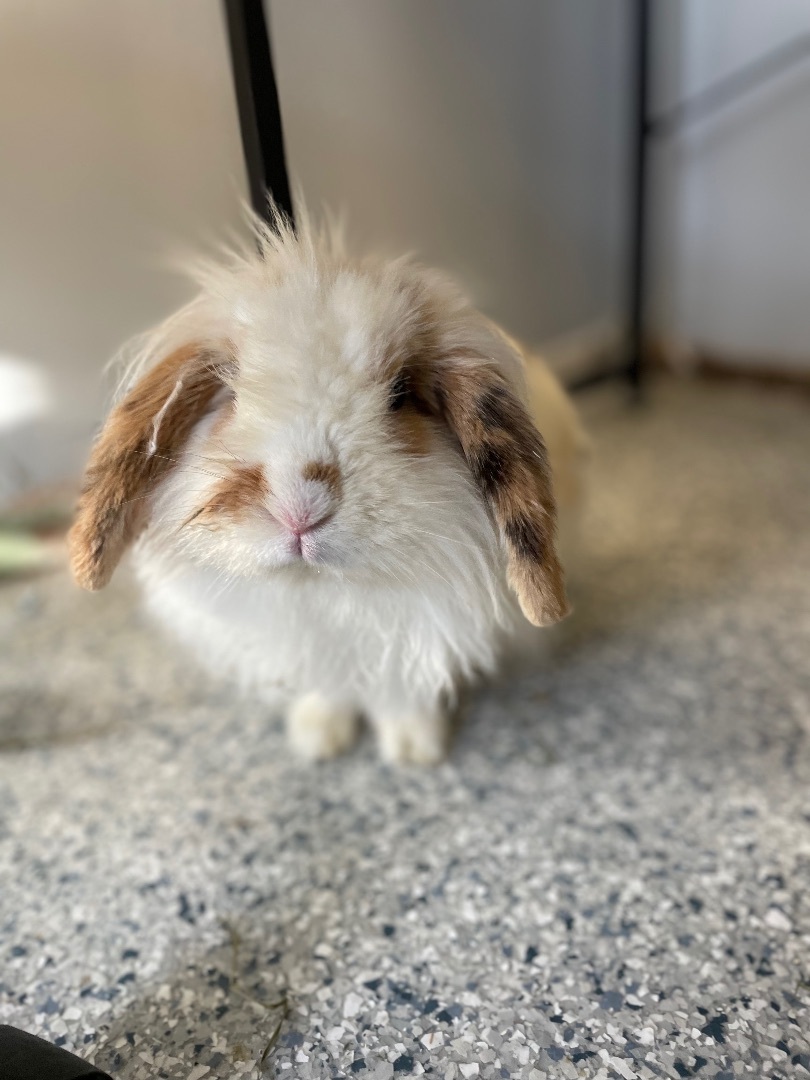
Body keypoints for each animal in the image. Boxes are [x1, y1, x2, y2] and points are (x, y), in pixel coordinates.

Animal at [68, 208, 587, 764]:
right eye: (231, 390)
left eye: (401, 394)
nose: (300, 506)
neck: (324, 592)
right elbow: (329, 686)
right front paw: (318, 736)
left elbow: (401, 686)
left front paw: (413, 748)